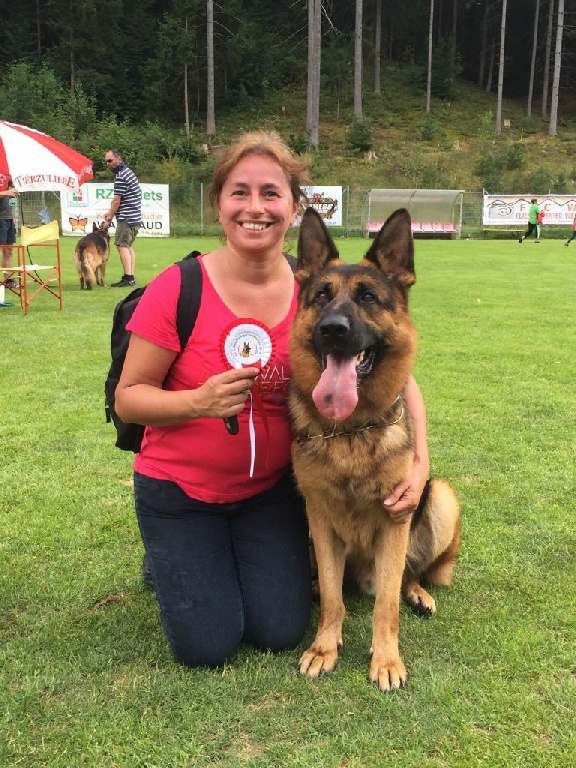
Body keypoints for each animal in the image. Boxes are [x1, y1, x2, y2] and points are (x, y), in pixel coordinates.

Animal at [290, 207, 462, 692]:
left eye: (367, 298)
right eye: (321, 296)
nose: (333, 329)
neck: (351, 431)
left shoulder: (395, 521)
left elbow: (386, 604)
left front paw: (386, 660)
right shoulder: (321, 522)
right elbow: (334, 599)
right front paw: (324, 648)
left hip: (441, 497)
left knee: (407, 575)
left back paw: (418, 593)